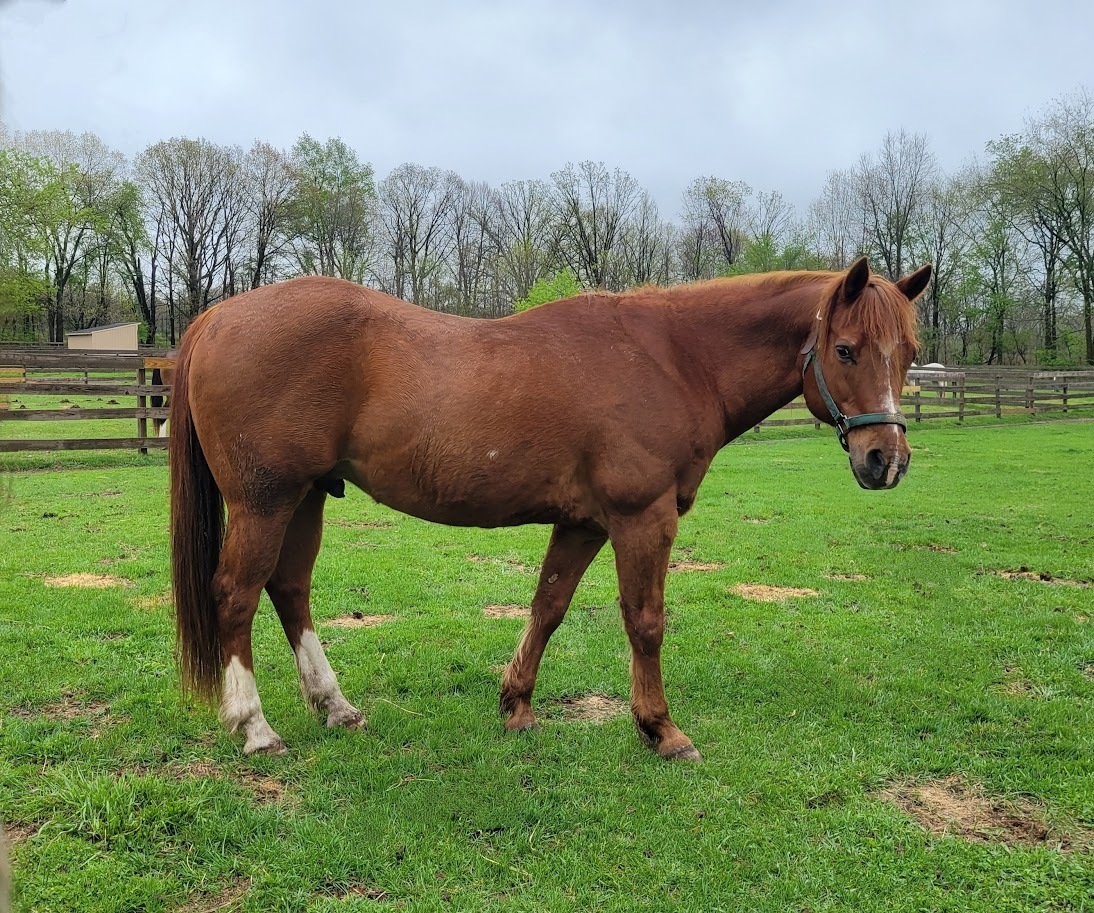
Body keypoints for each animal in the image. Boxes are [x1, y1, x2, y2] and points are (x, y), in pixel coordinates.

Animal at [170, 257, 931, 760]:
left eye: (909, 352)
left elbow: (548, 607)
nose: (885, 460)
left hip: (304, 499)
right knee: (236, 594)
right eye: (846, 349)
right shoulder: (642, 518)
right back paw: (255, 728)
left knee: (289, 590)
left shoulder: (583, 523)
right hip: (266, 500)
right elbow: (645, 622)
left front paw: (517, 706)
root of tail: (218, 316)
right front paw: (661, 728)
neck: (673, 358)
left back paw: (336, 708)